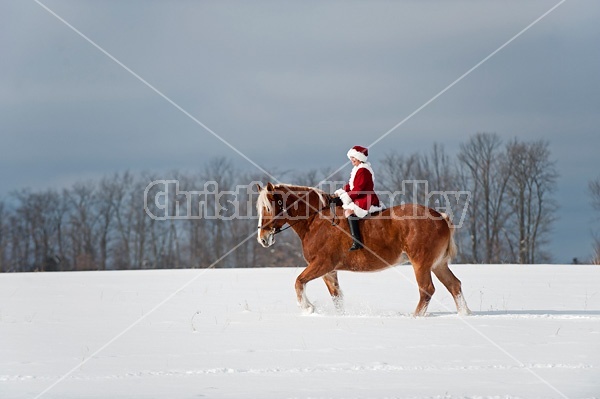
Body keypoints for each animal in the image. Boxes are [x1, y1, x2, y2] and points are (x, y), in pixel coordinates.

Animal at [255, 183, 472, 318]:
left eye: (268, 208)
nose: (262, 238)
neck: (316, 219)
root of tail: (441, 217)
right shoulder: (329, 271)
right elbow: (337, 297)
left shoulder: (322, 264)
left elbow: (299, 282)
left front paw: (308, 309)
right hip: (438, 264)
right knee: (454, 285)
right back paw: (465, 313)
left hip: (421, 264)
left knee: (427, 289)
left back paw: (415, 317)